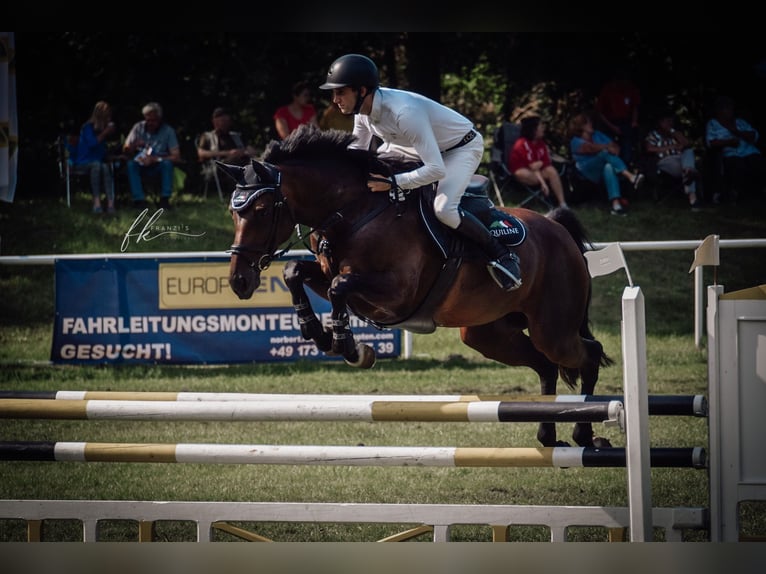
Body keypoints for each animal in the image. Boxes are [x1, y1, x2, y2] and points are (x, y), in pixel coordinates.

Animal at [219, 126, 616, 450]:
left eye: (263, 209)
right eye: (233, 211)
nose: (239, 281)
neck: (356, 210)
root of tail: (558, 228)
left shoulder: (397, 294)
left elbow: (338, 287)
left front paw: (348, 346)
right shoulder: (329, 271)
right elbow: (294, 272)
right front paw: (316, 332)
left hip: (552, 328)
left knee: (588, 353)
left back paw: (584, 433)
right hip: (488, 334)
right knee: (546, 366)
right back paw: (548, 435)